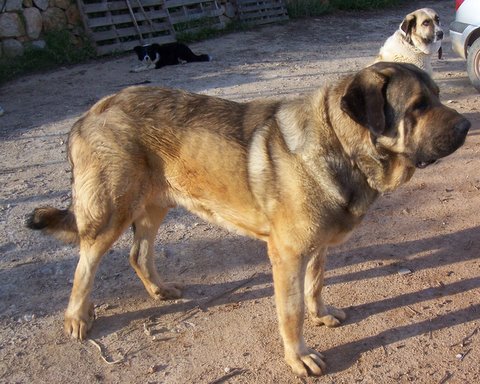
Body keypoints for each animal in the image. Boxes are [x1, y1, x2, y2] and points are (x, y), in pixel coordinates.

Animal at [26, 62, 468, 376]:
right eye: (419, 106)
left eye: (438, 95)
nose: (466, 125)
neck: (341, 145)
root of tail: (88, 114)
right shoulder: (287, 256)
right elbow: (291, 312)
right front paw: (298, 357)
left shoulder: (316, 248)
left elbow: (316, 286)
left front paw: (321, 314)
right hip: (112, 213)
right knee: (85, 266)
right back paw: (77, 319)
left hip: (155, 205)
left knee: (138, 253)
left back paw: (158, 289)